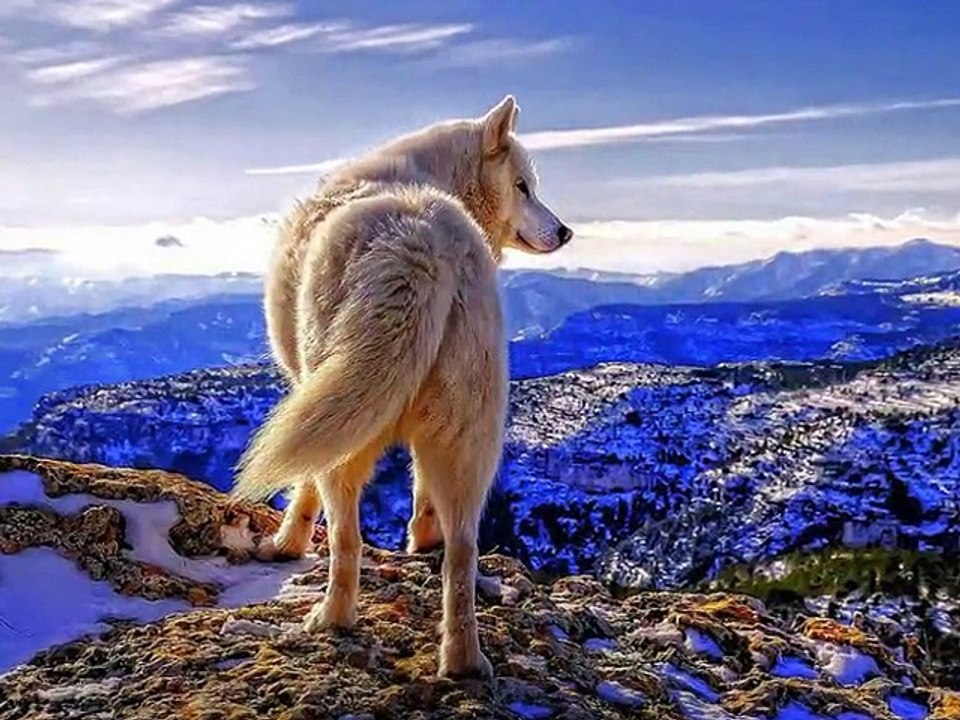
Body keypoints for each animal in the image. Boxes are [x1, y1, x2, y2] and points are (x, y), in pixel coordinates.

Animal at [231, 95, 572, 678]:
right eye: (523, 186)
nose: (566, 231)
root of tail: (422, 245)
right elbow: (420, 496)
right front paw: (420, 539)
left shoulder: (309, 387)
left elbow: (302, 489)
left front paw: (285, 543)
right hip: (468, 435)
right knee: (462, 551)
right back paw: (462, 661)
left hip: (349, 423)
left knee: (347, 538)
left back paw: (331, 618)